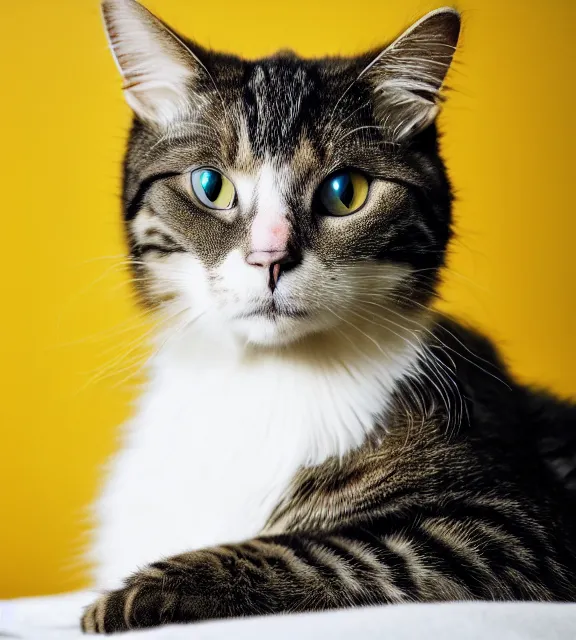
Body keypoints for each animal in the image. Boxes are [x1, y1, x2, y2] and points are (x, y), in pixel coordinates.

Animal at [81, 0, 576, 632]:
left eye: (346, 191)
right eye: (210, 185)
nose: (270, 257)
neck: (263, 379)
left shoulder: (516, 531)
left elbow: (328, 550)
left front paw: (132, 595)